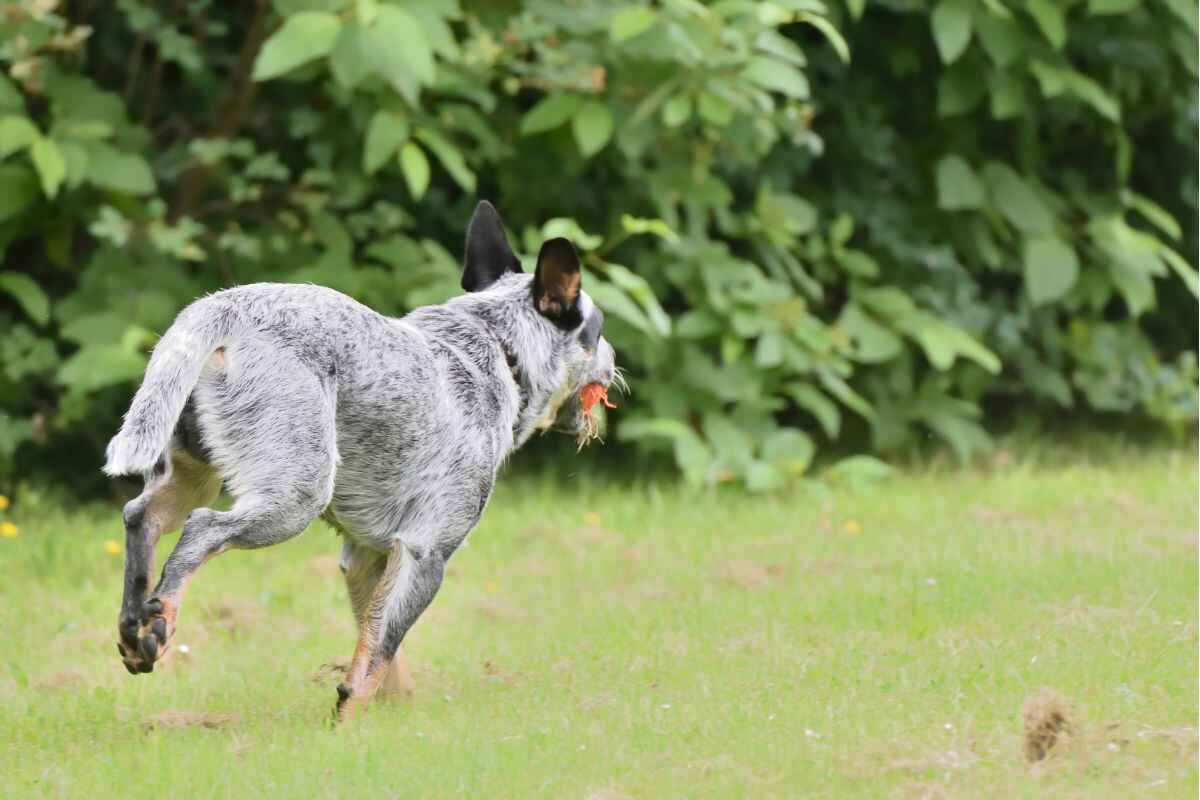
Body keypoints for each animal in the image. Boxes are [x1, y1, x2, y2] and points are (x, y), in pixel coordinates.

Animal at [103, 203, 619, 724]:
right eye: (596, 332)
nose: (616, 361)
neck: (498, 347)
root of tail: (221, 308)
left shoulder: (366, 557)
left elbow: (379, 650)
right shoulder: (426, 552)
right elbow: (380, 653)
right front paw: (348, 721)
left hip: (191, 475)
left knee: (142, 516)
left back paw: (136, 630)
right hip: (296, 497)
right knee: (201, 531)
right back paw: (162, 619)